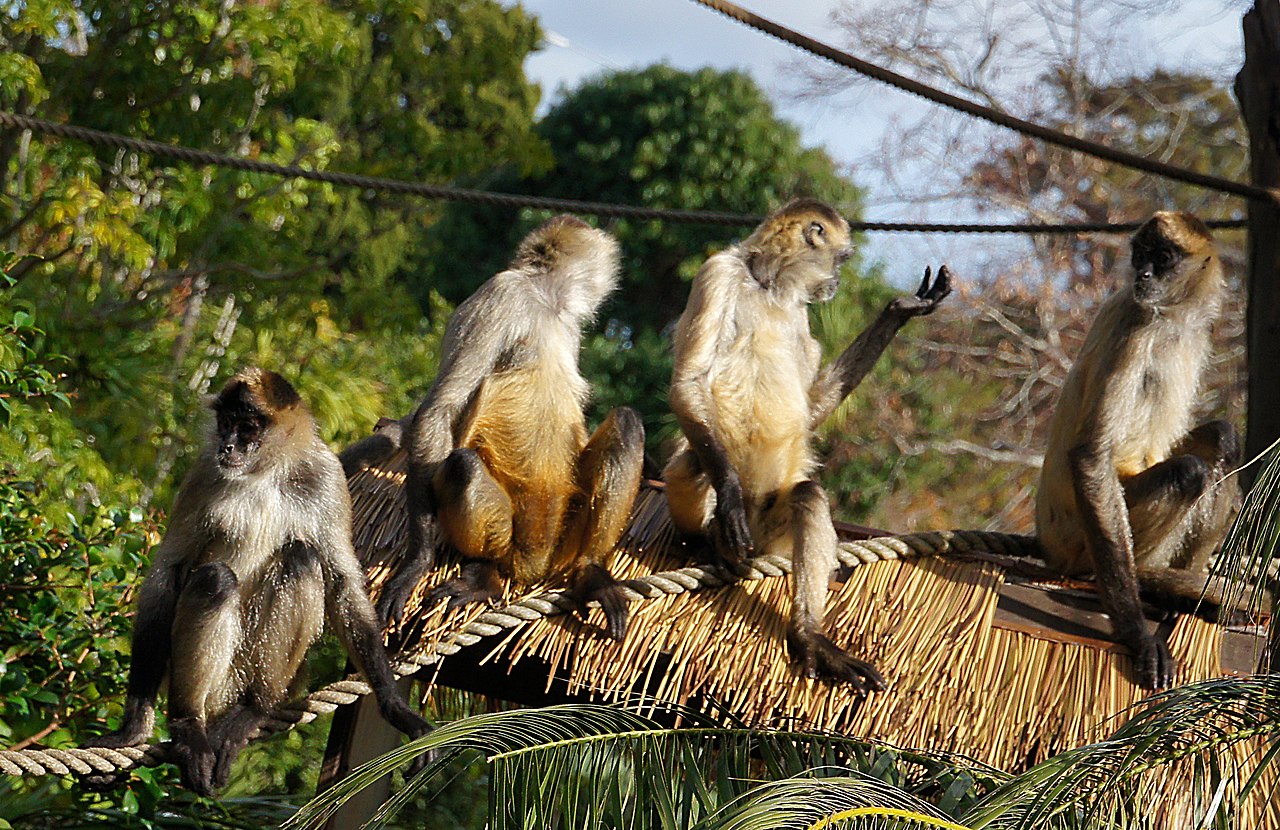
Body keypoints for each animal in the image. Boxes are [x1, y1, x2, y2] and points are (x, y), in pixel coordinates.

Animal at [88, 368, 429, 796]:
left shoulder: (326, 476)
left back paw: (253, 708)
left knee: (301, 557)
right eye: (225, 423)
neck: (264, 473)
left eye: (248, 427)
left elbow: (342, 583)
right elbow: (167, 574)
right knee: (215, 579)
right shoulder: (205, 469)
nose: (228, 446)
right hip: (218, 679)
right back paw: (189, 726)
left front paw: (397, 710)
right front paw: (133, 730)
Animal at [374, 215, 645, 642]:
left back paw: (588, 571)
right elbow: (439, 409)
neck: (546, 302)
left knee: (628, 423)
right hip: (508, 534)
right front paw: (416, 564)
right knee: (462, 465)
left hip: (565, 535)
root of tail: (532, 565)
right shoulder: (501, 292)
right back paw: (487, 571)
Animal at [663, 198, 951, 691]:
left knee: (808, 494)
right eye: (841, 258)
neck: (767, 287)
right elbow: (688, 382)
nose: (835, 283)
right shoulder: (718, 271)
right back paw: (707, 536)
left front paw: (900, 311)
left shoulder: (798, 313)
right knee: (695, 462)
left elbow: (810, 407)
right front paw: (730, 497)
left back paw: (808, 636)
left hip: (773, 532)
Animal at [1036, 211, 1244, 691]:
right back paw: (1144, 579)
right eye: (1141, 256)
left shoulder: (1192, 332)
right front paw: (1136, 633)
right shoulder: (1136, 323)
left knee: (1221, 456)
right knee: (1189, 471)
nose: (1143, 275)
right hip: (1077, 543)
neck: (1172, 320)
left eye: (1162, 257)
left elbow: (1215, 440)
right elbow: (1091, 457)